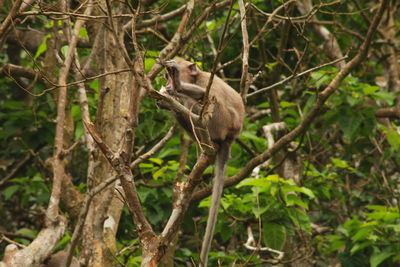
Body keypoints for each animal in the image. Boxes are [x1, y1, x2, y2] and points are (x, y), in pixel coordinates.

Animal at [162, 57, 244, 266]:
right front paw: (167, 100)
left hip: (221, 121)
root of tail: (230, 137)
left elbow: (205, 95)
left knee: (203, 103)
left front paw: (177, 86)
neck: (196, 77)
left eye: (173, 68)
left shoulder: (206, 82)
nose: (167, 80)